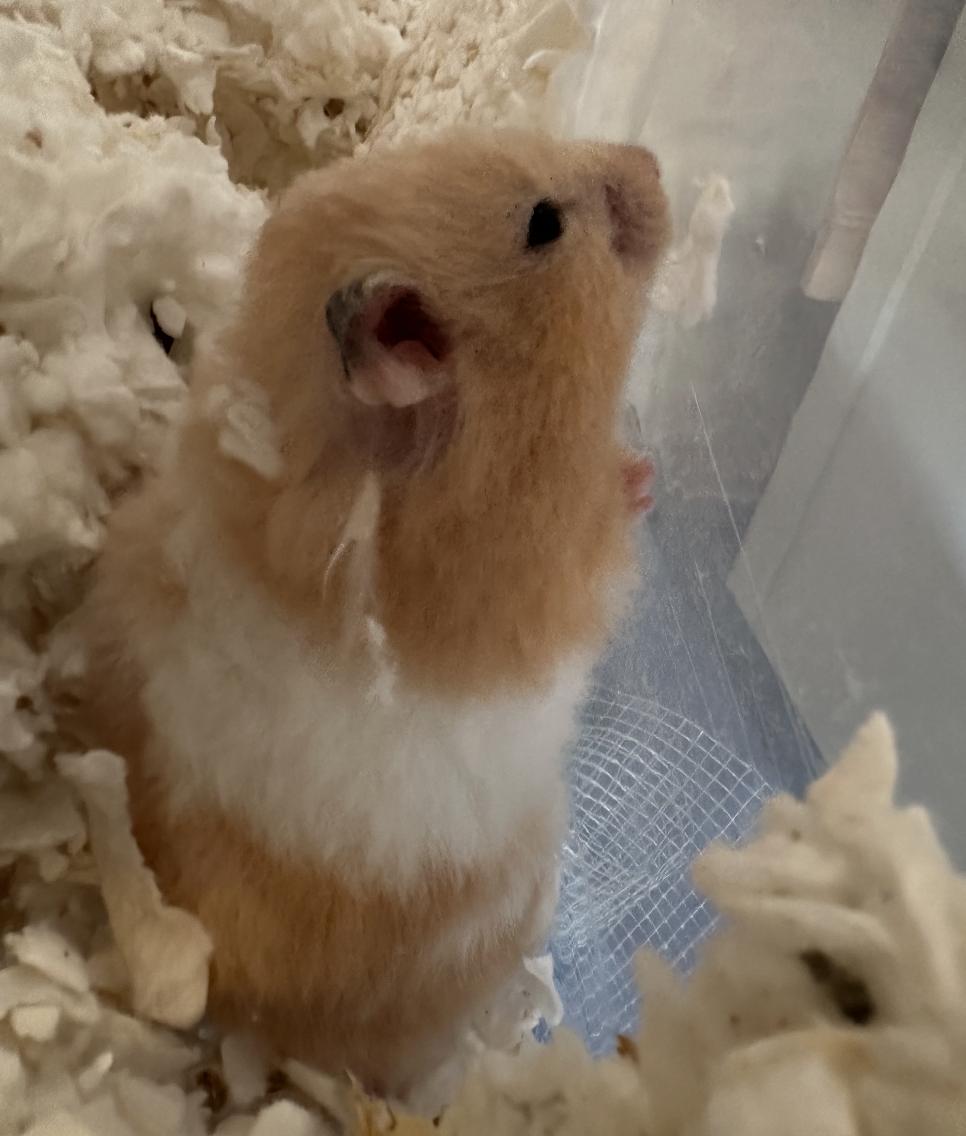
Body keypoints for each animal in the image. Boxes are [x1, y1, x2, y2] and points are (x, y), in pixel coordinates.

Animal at [76, 128, 670, 1099]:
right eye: (545, 225)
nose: (651, 161)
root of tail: (236, 1009)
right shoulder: (561, 569)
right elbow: (611, 546)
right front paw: (642, 476)